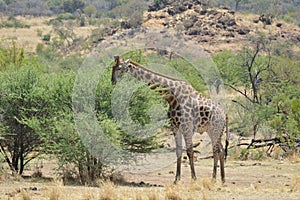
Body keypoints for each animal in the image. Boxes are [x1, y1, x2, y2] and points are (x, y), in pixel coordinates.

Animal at [111, 55, 229, 184]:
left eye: (119, 68)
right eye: (113, 67)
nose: (112, 81)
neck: (172, 96)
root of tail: (225, 115)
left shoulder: (187, 127)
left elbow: (190, 151)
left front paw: (193, 179)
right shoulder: (175, 127)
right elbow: (178, 151)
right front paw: (176, 179)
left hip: (215, 130)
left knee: (216, 151)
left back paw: (214, 179)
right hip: (212, 131)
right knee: (221, 150)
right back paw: (222, 179)